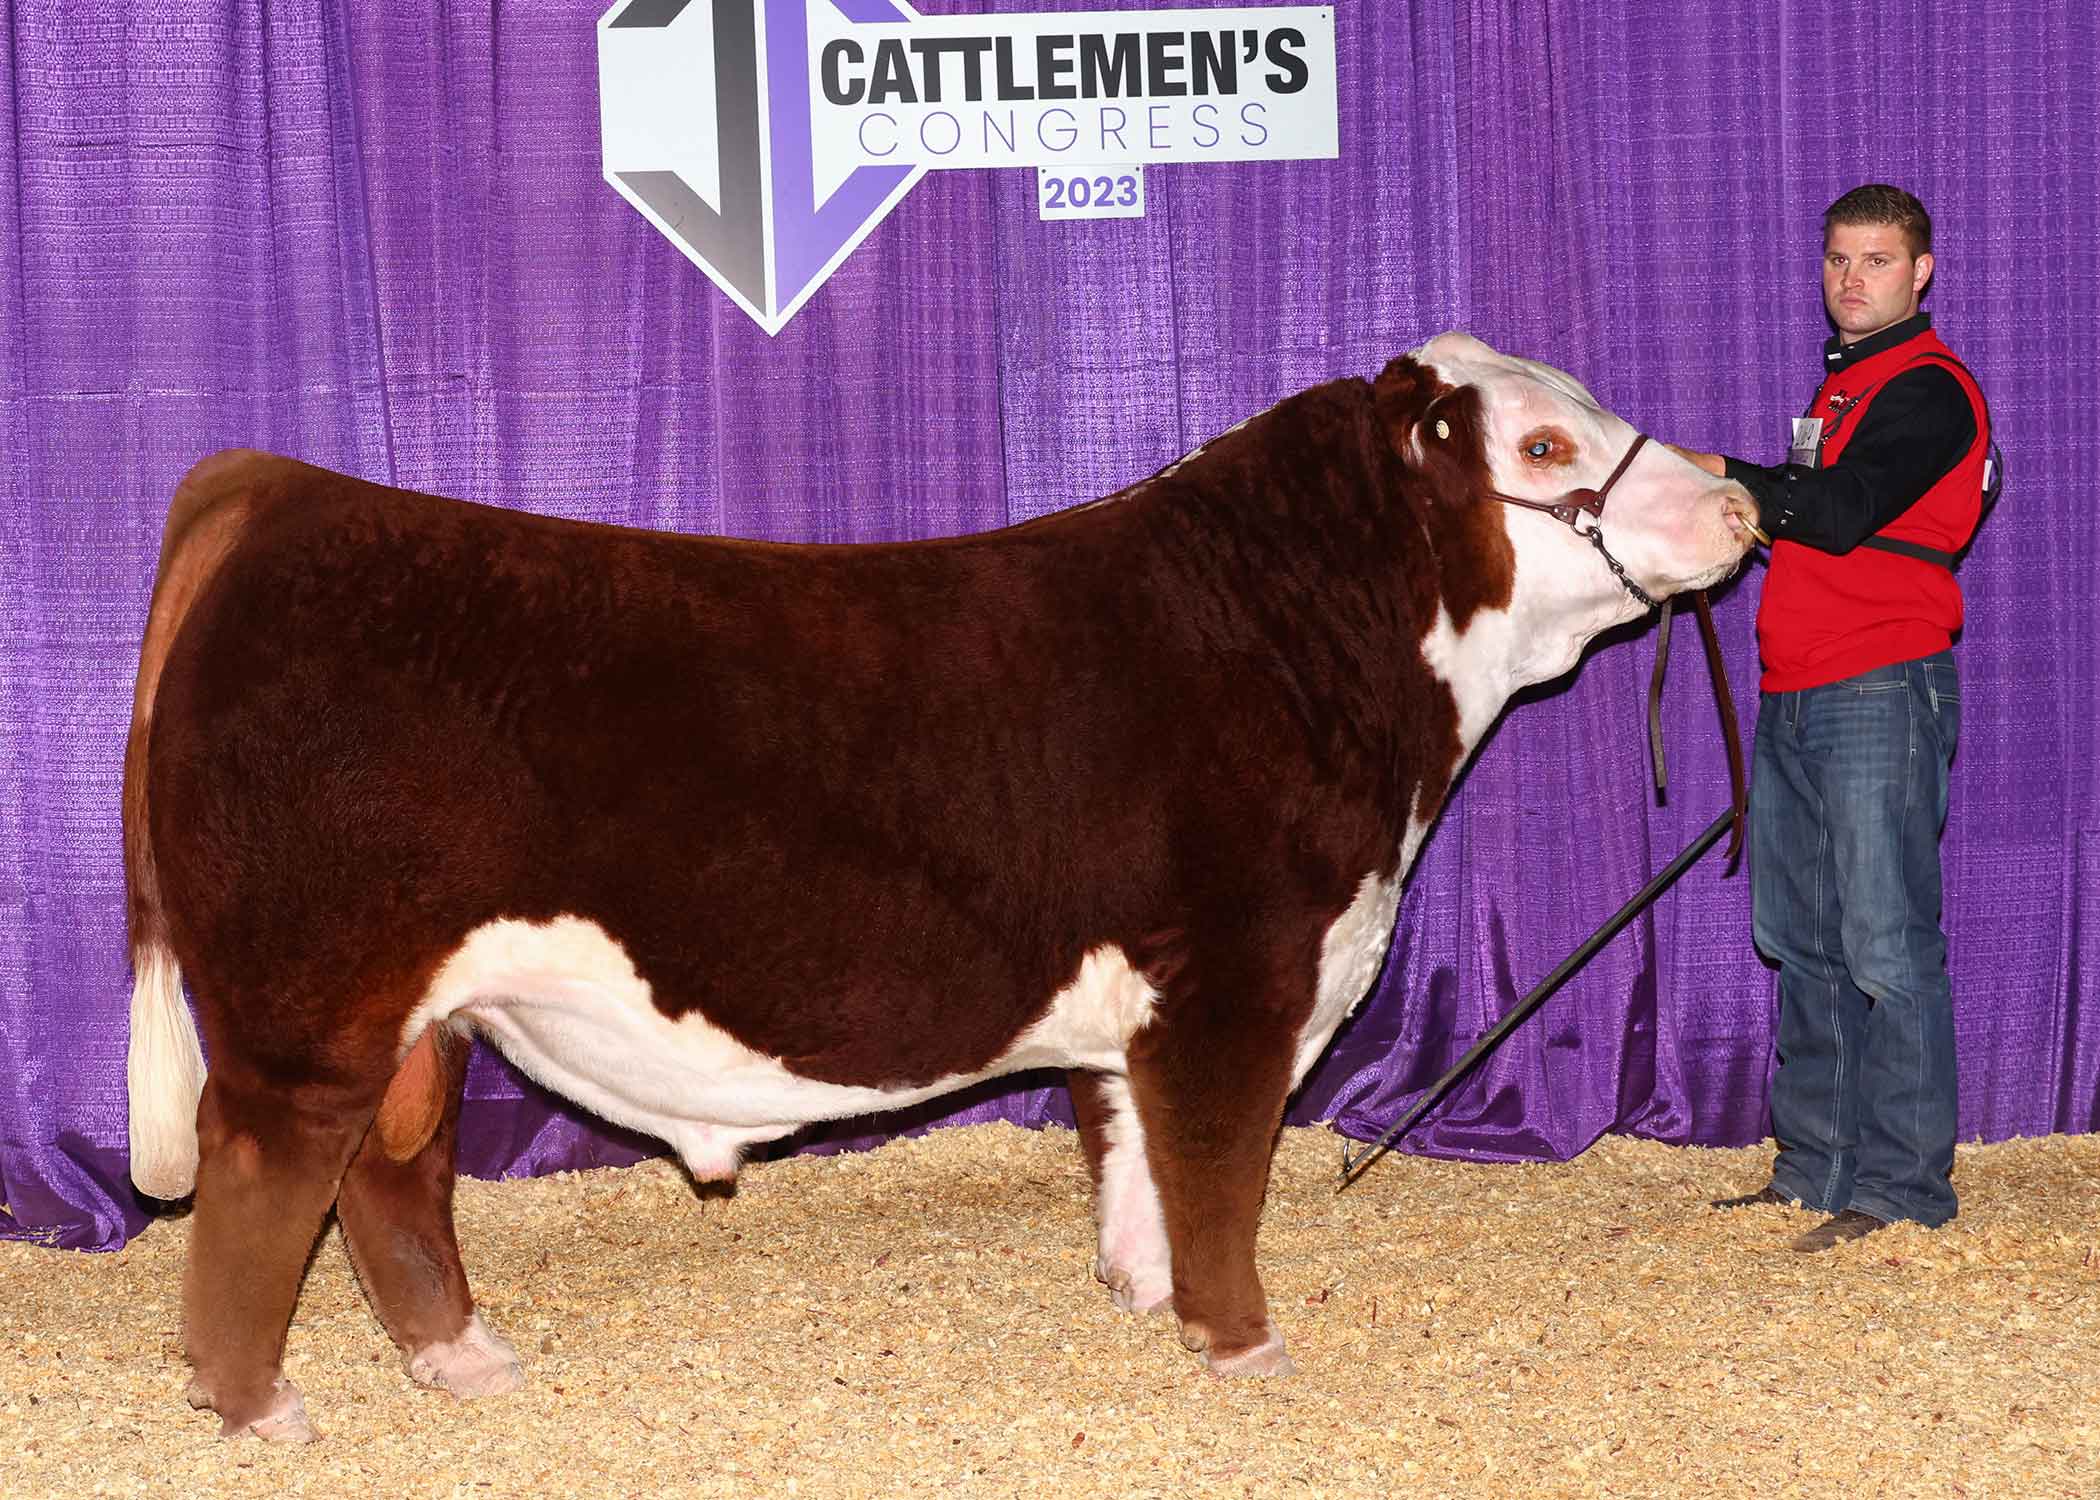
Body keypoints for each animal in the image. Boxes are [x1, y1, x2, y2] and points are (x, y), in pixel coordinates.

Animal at [122, 332, 1754, 1440]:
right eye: (1540, 452)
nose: (1740, 504)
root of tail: (280, 493)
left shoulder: (1141, 995)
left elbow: (1135, 1156)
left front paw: (1145, 1301)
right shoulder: (1237, 974)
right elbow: (1220, 1166)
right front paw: (1242, 1345)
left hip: (421, 1011)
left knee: (391, 1173)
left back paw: (460, 1361)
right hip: (312, 1000)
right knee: (268, 1170)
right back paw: (257, 1406)